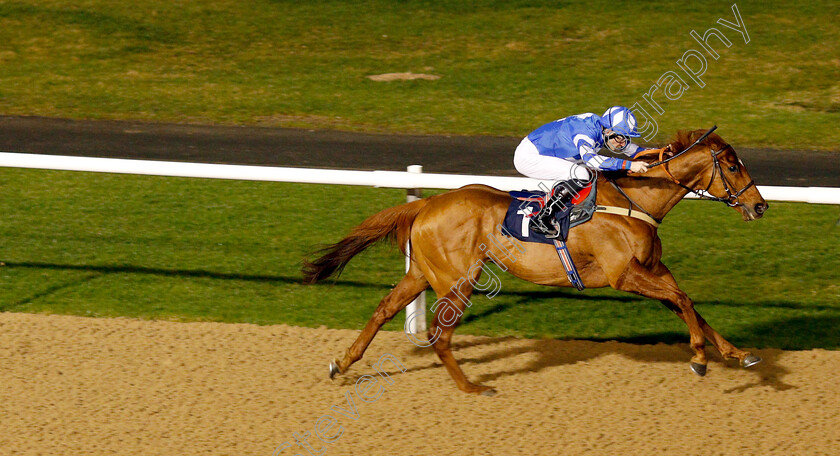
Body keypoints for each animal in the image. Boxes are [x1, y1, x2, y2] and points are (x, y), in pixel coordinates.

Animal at [302, 129, 768, 396]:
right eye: (731, 165)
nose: (760, 206)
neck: (636, 201)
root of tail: (428, 202)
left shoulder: (652, 270)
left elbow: (688, 303)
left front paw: (738, 353)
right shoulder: (625, 275)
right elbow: (684, 300)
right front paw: (700, 359)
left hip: (422, 273)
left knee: (384, 310)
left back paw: (342, 363)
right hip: (459, 278)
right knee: (439, 333)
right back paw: (471, 387)